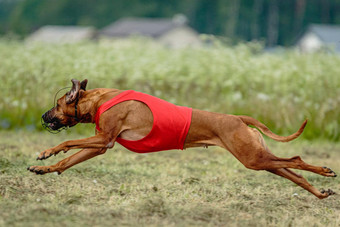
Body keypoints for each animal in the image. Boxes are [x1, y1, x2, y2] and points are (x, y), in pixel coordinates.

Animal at [27, 78, 336, 199]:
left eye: (56, 104)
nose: (42, 116)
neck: (99, 100)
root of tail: (237, 118)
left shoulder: (104, 139)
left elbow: (66, 144)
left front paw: (45, 152)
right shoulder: (101, 146)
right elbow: (67, 161)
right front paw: (44, 167)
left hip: (252, 157)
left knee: (296, 158)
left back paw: (325, 170)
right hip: (258, 158)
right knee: (293, 172)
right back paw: (320, 192)